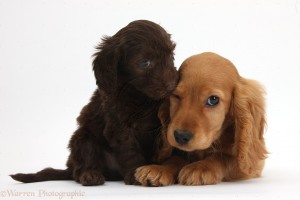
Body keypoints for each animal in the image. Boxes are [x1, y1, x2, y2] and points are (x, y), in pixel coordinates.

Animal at [135, 52, 268, 186]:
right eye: (176, 95)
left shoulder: (252, 166)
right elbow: (175, 159)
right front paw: (159, 169)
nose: (180, 136)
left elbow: (224, 158)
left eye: (213, 100)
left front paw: (200, 168)